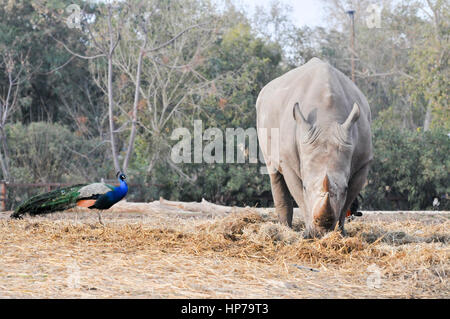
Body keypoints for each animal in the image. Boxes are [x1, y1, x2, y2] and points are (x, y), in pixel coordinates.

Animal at [256, 58, 372, 238]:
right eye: (305, 186)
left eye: (344, 188)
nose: (321, 232)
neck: (327, 120)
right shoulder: (289, 161)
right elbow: (300, 196)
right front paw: (308, 234)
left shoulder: (363, 163)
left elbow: (347, 201)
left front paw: (340, 233)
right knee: (273, 171)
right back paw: (285, 230)